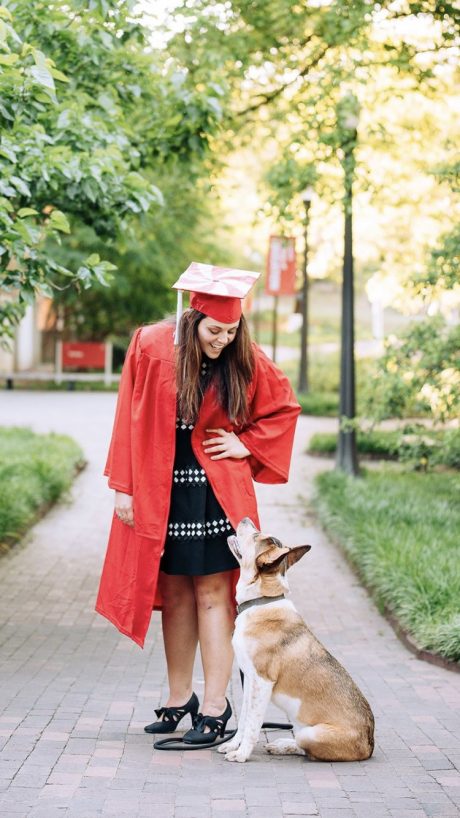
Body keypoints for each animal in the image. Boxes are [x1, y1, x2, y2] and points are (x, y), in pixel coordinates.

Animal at [218, 520, 374, 760]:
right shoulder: (250, 680)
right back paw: (281, 745)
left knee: (307, 750)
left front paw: (242, 754)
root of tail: (369, 743)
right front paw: (233, 745)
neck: (262, 601)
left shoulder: (261, 681)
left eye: (255, 536)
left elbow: (253, 725)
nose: (245, 520)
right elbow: (243, 720)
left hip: (311, 733)